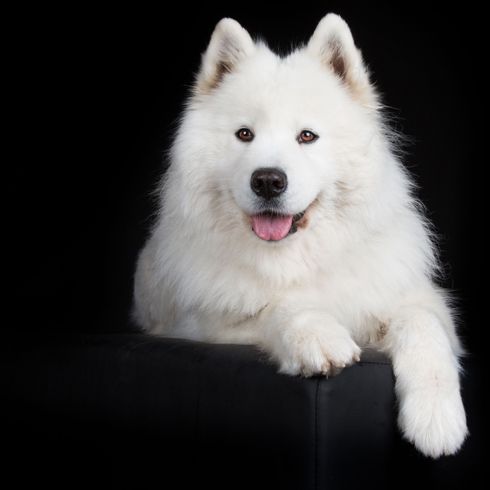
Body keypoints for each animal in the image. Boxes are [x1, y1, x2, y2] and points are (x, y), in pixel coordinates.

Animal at [133, 13, 468, 458]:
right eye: (245, 134)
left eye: (307, 136)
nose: (268, 181)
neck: (299, 253)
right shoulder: (208, 325)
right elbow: (278, 306)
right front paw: (319, 335)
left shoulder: (415, 300)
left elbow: (422, 325)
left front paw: (437, 420)